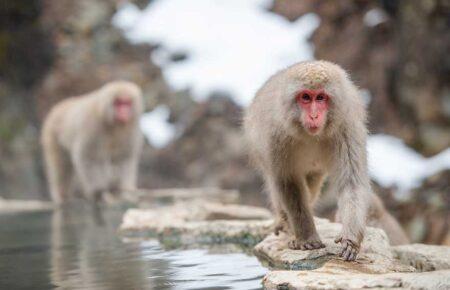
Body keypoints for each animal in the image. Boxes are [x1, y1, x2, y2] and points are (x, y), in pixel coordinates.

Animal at [246, 60, 408, 260]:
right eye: (305, 97)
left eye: (321, 98)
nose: (314, 115)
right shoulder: (275, 136)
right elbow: (287, 183)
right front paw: (306, 237)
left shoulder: (347, 128)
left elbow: (351, 181)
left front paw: (350, 240)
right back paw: (286, 223)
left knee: (312, 184)